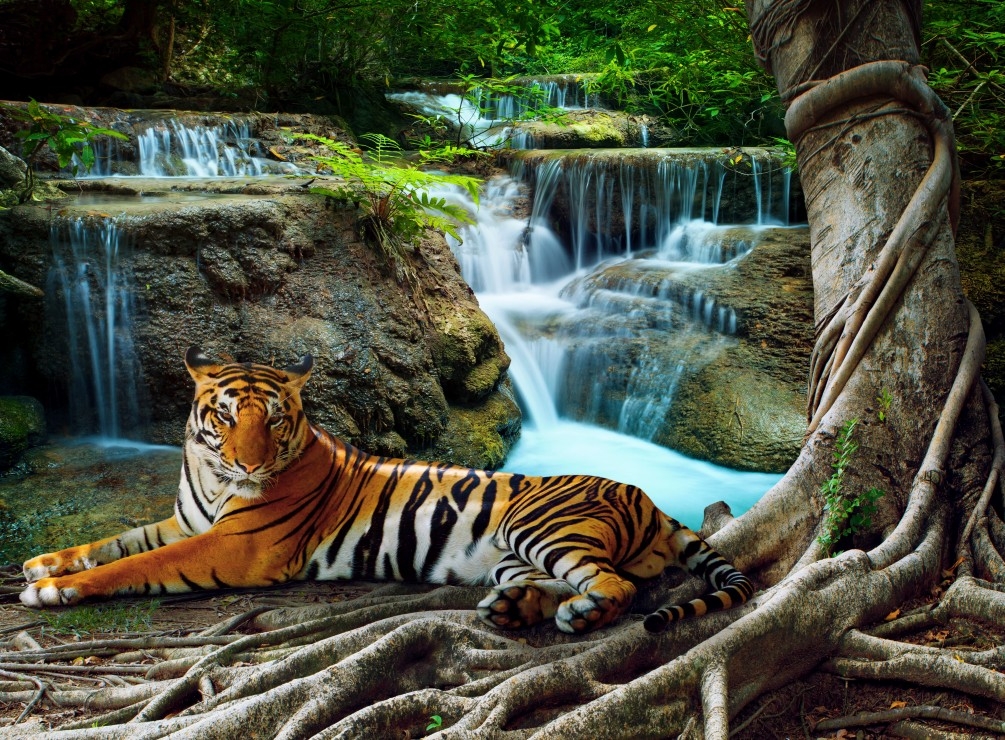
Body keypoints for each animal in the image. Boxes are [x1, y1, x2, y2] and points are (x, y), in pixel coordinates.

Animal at [21, 347, 754, 634]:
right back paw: (511, 609)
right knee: (560, 583)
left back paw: (575, 614)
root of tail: (649, 499)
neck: (209, 474)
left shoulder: (232, 547)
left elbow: (136, 564)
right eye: (225, 417)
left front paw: (56, 589)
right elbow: (117, 540)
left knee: (615, 587)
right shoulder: (187, 522)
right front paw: (43, 563)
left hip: (540, 527)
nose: (250, 464)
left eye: (274, 419)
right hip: (514, 554)